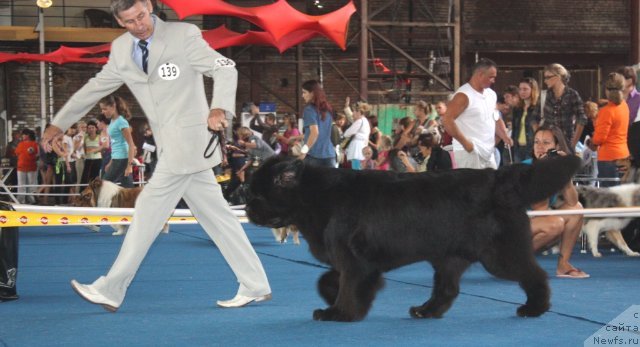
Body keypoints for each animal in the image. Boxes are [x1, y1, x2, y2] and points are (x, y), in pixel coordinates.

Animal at [248, 156, 584, 322]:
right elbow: (329, 280)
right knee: (447, 289)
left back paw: (534, 308)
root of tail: (497, 179)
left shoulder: (356, 261)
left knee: (534, 274)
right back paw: (426, 311)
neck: (317, 196)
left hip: (498, 255)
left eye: (259, 195)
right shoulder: (355, 262)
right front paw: (336, 300)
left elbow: (348, 286)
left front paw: (340, 313)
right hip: (449, 257)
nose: (248, 208)